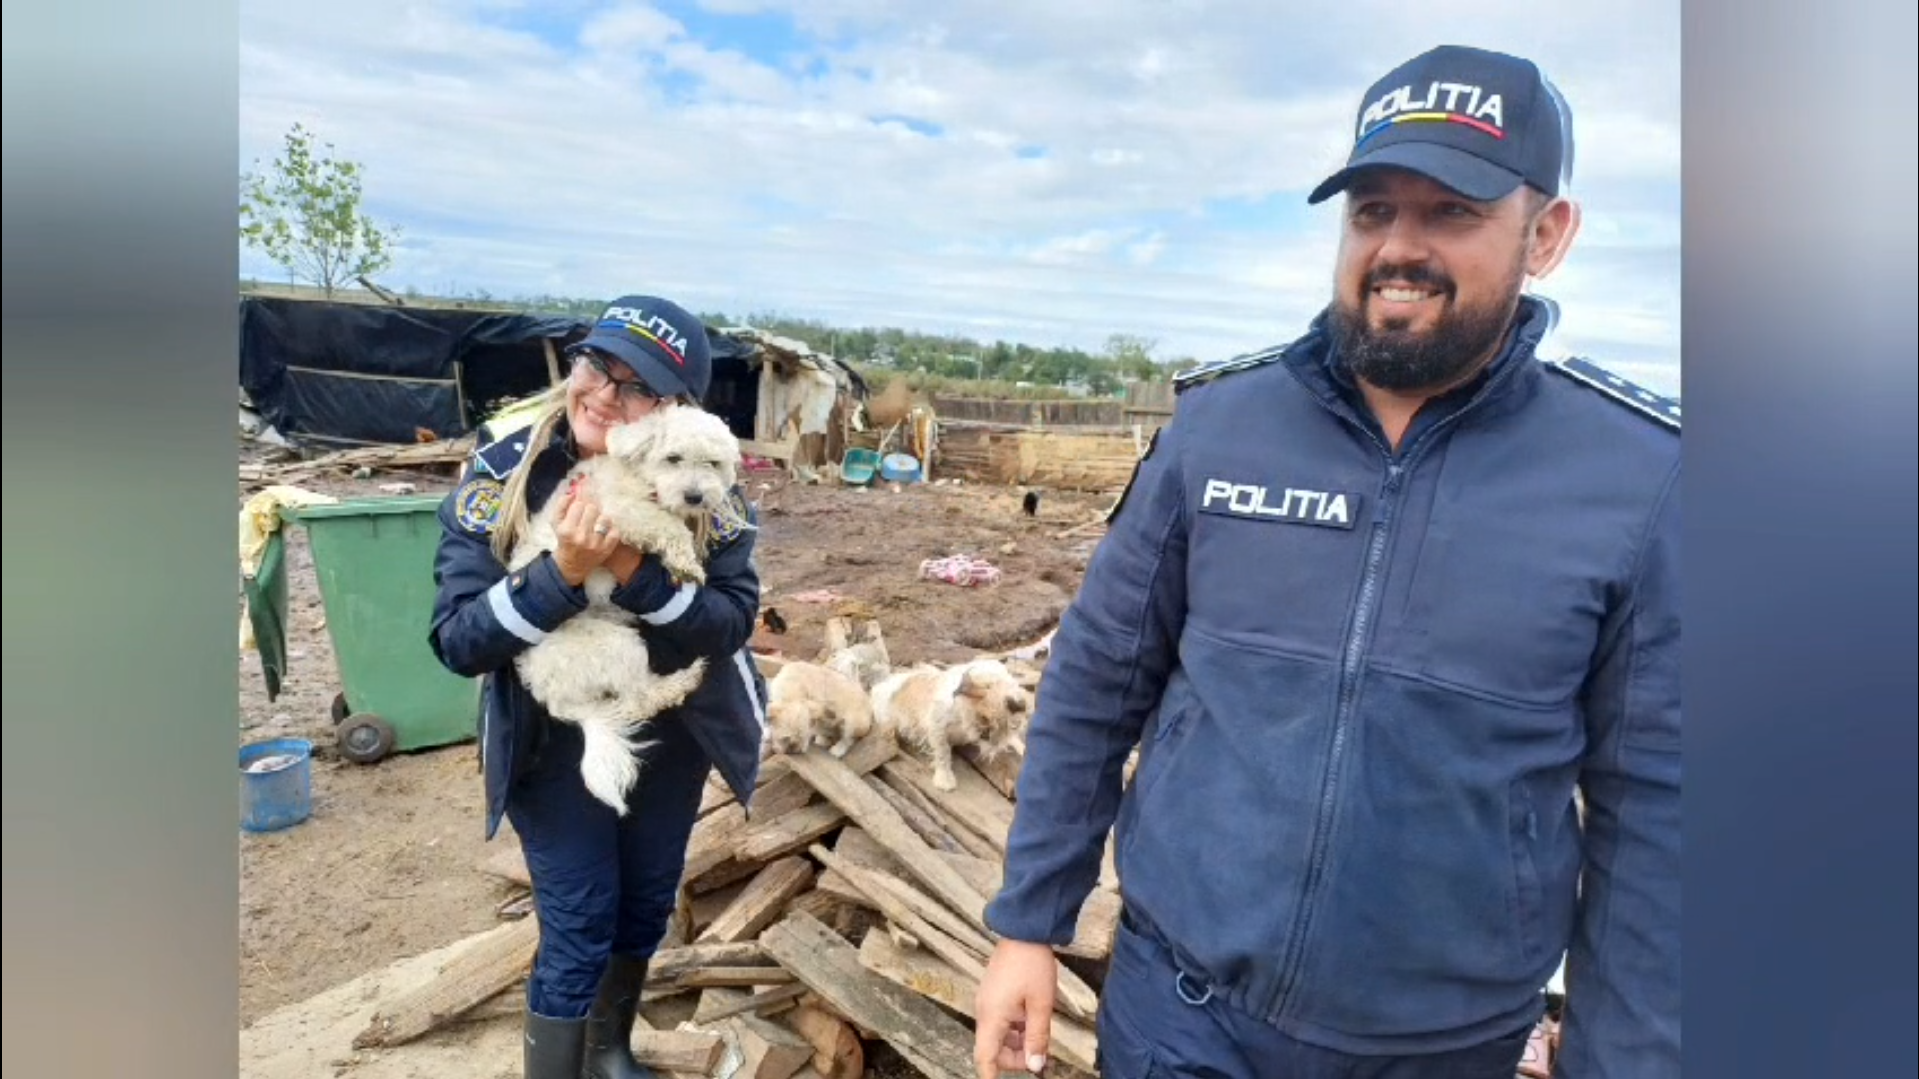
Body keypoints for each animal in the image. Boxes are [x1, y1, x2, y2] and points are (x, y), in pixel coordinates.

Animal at [506, 401, 744, 806]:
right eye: (673, 458)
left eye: (712, 463)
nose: (695, 497)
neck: (640, 476)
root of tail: (550, 696)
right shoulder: (618, 513)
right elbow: (668, 525)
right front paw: (686, 562)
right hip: (619, 646)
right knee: (640, 698)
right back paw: (682, 681)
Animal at [875, 652, 1036, 787]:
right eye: (988, 685)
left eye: (1012, 681)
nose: (1018, 704)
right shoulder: (937, 727)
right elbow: (943, 752)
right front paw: (944, 778)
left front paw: (1020, 746)